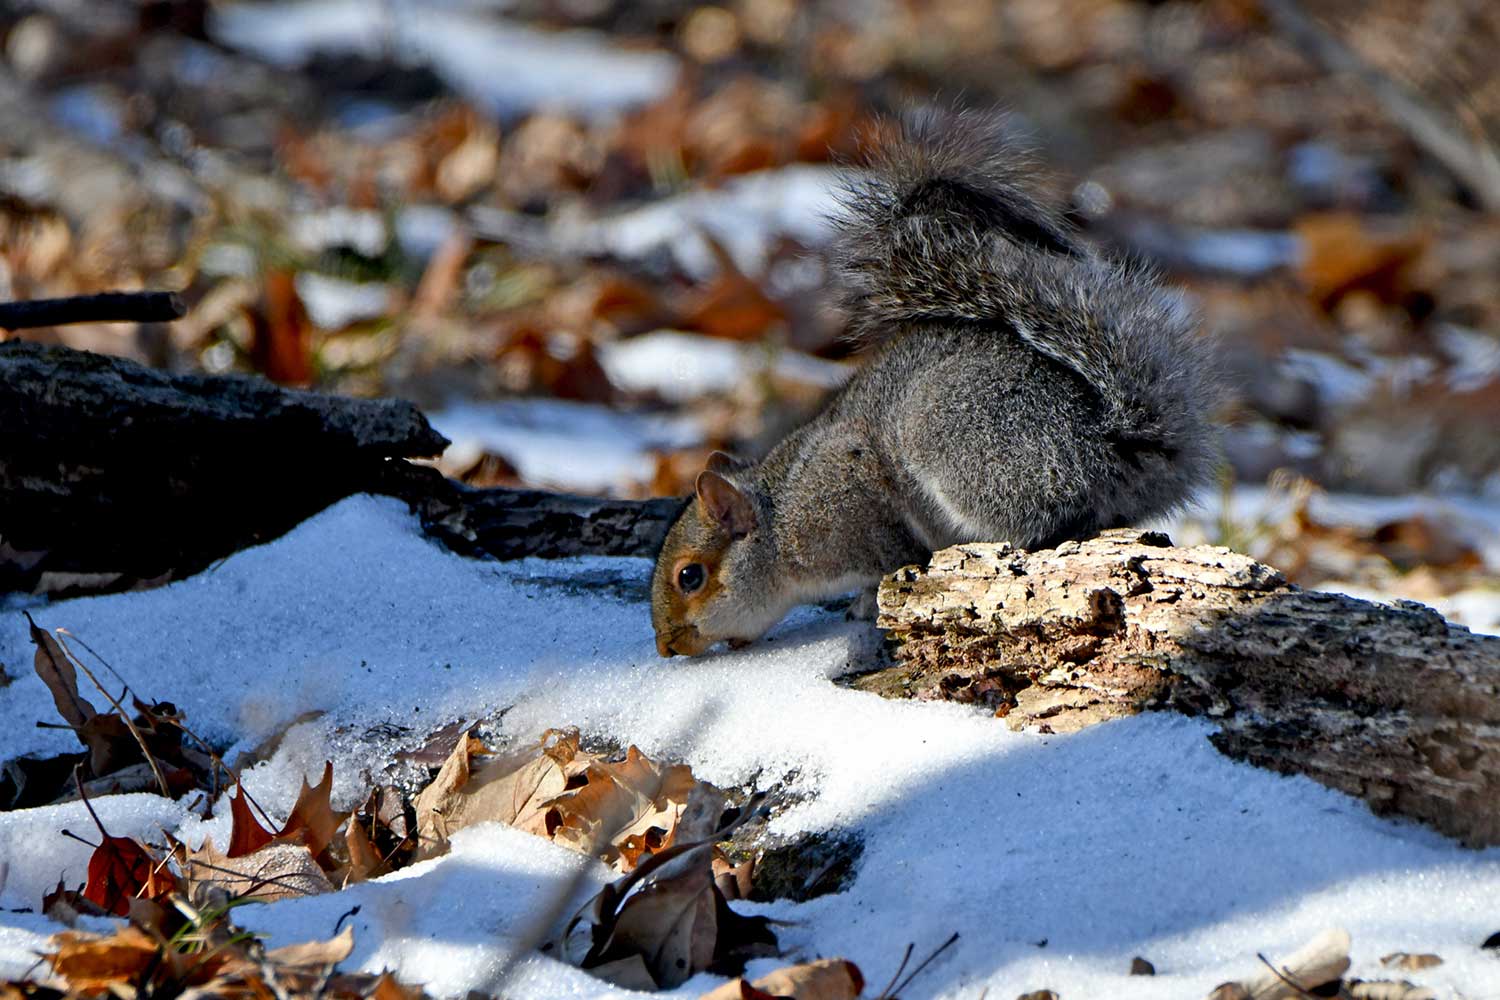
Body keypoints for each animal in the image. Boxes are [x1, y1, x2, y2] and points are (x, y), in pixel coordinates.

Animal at [651, 109, 1212, 656]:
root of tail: (1109, 442)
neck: (779, 519)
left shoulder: (848, 504)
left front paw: (866, 602)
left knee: (1045, 522)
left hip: (960, 443)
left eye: (690, 577)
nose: (666, 647)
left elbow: (890, 557)